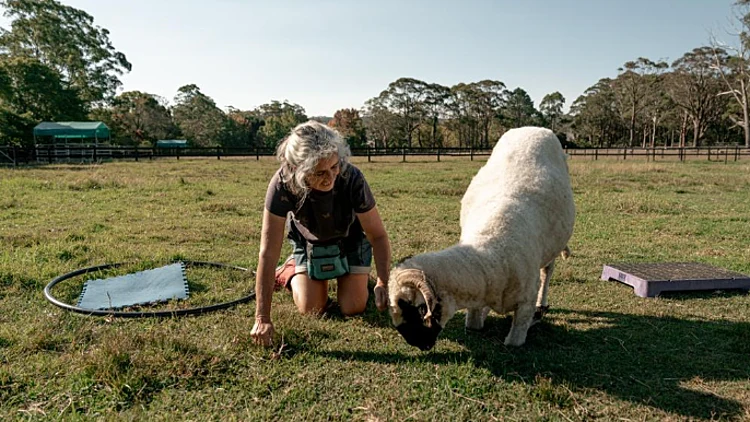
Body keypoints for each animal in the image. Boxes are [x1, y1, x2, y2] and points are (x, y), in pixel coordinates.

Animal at [388, 125, 576, 350]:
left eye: (417, 308)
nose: (418, 344)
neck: (491, 249)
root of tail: (533, 128)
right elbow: (474, 323)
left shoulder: (525, 304)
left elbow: (514, 340)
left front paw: (536, 317)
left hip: (551, 249)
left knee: (547, 271)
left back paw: (542, 303)